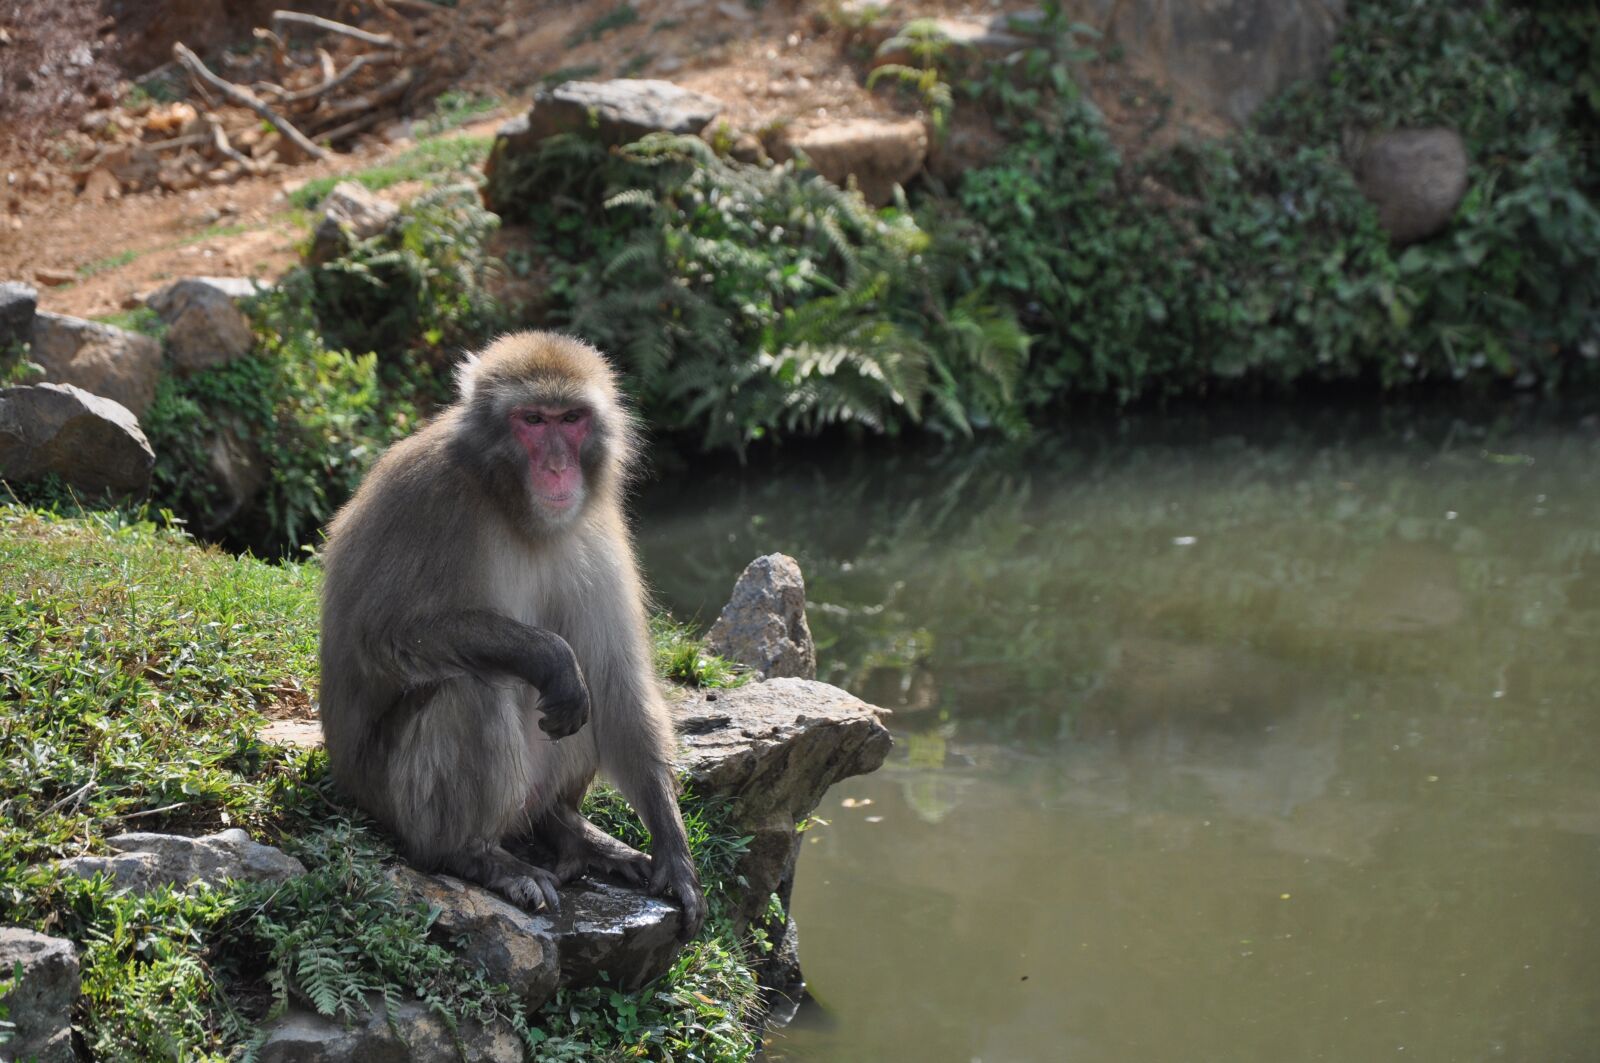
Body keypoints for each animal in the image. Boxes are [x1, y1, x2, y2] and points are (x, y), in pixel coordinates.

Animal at [317, 331, 706, 938]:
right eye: (532, 420)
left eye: (570, 419)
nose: (557, 467)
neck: (511, 505)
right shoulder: (425, 498)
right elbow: (380, 636)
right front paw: (549, 656)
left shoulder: (597, 527)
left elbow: (615, 679)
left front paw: (674, 853)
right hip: (392, 801)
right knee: (476, 689)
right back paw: (473, 855)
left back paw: (565, 828)